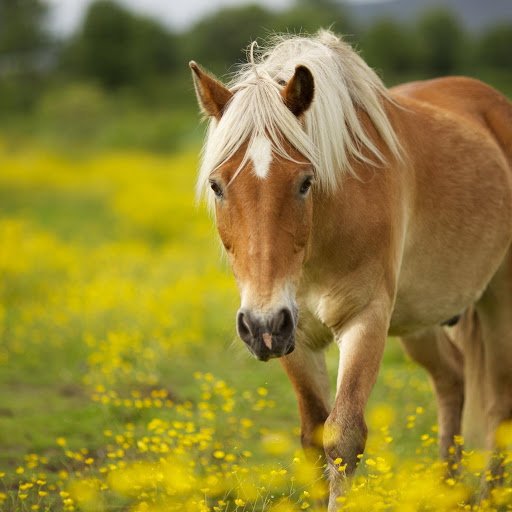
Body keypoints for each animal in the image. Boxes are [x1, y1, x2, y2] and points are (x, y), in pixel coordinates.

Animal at [189, 30, 512, 510]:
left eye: (305, 182)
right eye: (217, 185)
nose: (262, 326)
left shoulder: (365, 320)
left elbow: (343, 437)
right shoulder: (296, 336)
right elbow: (313, 435)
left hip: (499, 299)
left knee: (499, 404)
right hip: (421, 319)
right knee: (452, 379)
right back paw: (446, 490)